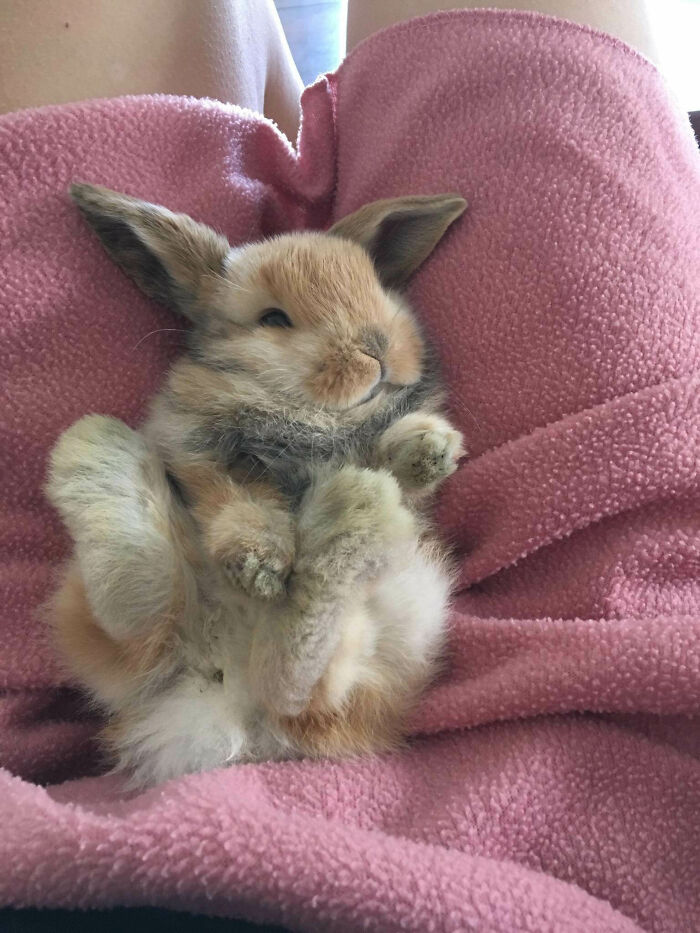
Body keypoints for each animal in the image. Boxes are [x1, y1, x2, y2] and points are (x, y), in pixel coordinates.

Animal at [45, 183, 467, 788]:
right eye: (273, 318)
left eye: (377, 287)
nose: (378, 348)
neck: (314, 415)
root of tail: (219, 701)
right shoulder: (204, 456)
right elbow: (241, 505)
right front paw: (261, 568)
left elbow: (395, 463)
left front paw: (430, 448)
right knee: (186, 634)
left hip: (405, 620)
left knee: (291, 683)